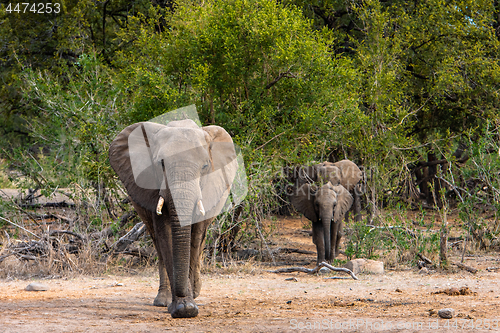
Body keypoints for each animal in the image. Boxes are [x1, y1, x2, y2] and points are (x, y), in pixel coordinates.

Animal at [108, 118, 237, 316]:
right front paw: (182, 307)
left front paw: (188, 306)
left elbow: (195, 237)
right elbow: (165, 234)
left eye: (205, 166)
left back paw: (195, 291)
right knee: (156, 241)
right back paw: (163, 300)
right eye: (160, 164)